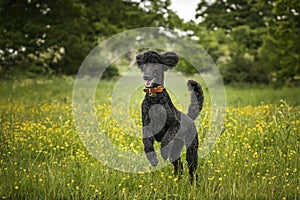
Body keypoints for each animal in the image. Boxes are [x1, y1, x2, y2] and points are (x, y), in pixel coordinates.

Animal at [136, 50, 204, 183]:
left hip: (191, 149)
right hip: (176, 150)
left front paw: (163, 153)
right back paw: (177, 180)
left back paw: (193, 183)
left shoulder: (174, 124)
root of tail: (189, 117)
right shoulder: (146, 125)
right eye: (144, 65)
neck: (154, 97)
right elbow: (147, 144)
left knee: (192, 167)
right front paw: (153, 159)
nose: (146, 76)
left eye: (156, 65)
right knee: (179, 165)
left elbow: (166, 139)